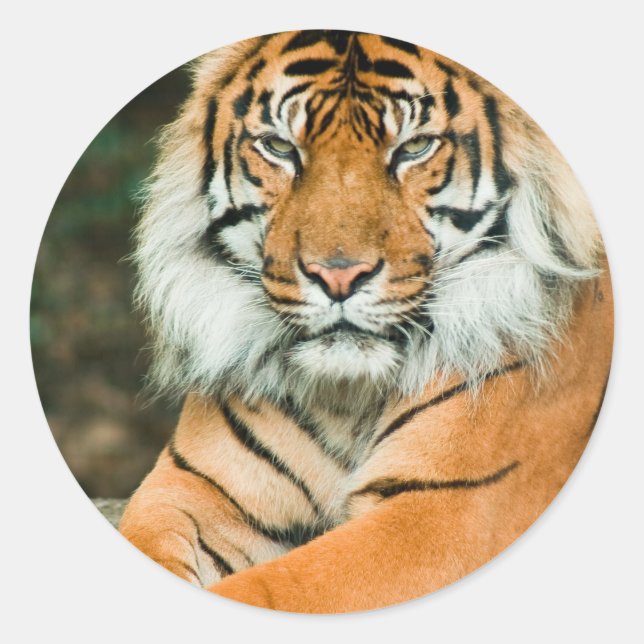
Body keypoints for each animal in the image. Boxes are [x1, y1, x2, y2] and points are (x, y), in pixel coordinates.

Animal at [119, 29, 613, 613]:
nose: (338, 276)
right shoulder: (193, 486)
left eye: (414, 148)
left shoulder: (445, 511)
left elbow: (278, 588)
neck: (345, 398)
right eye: (280, 148)